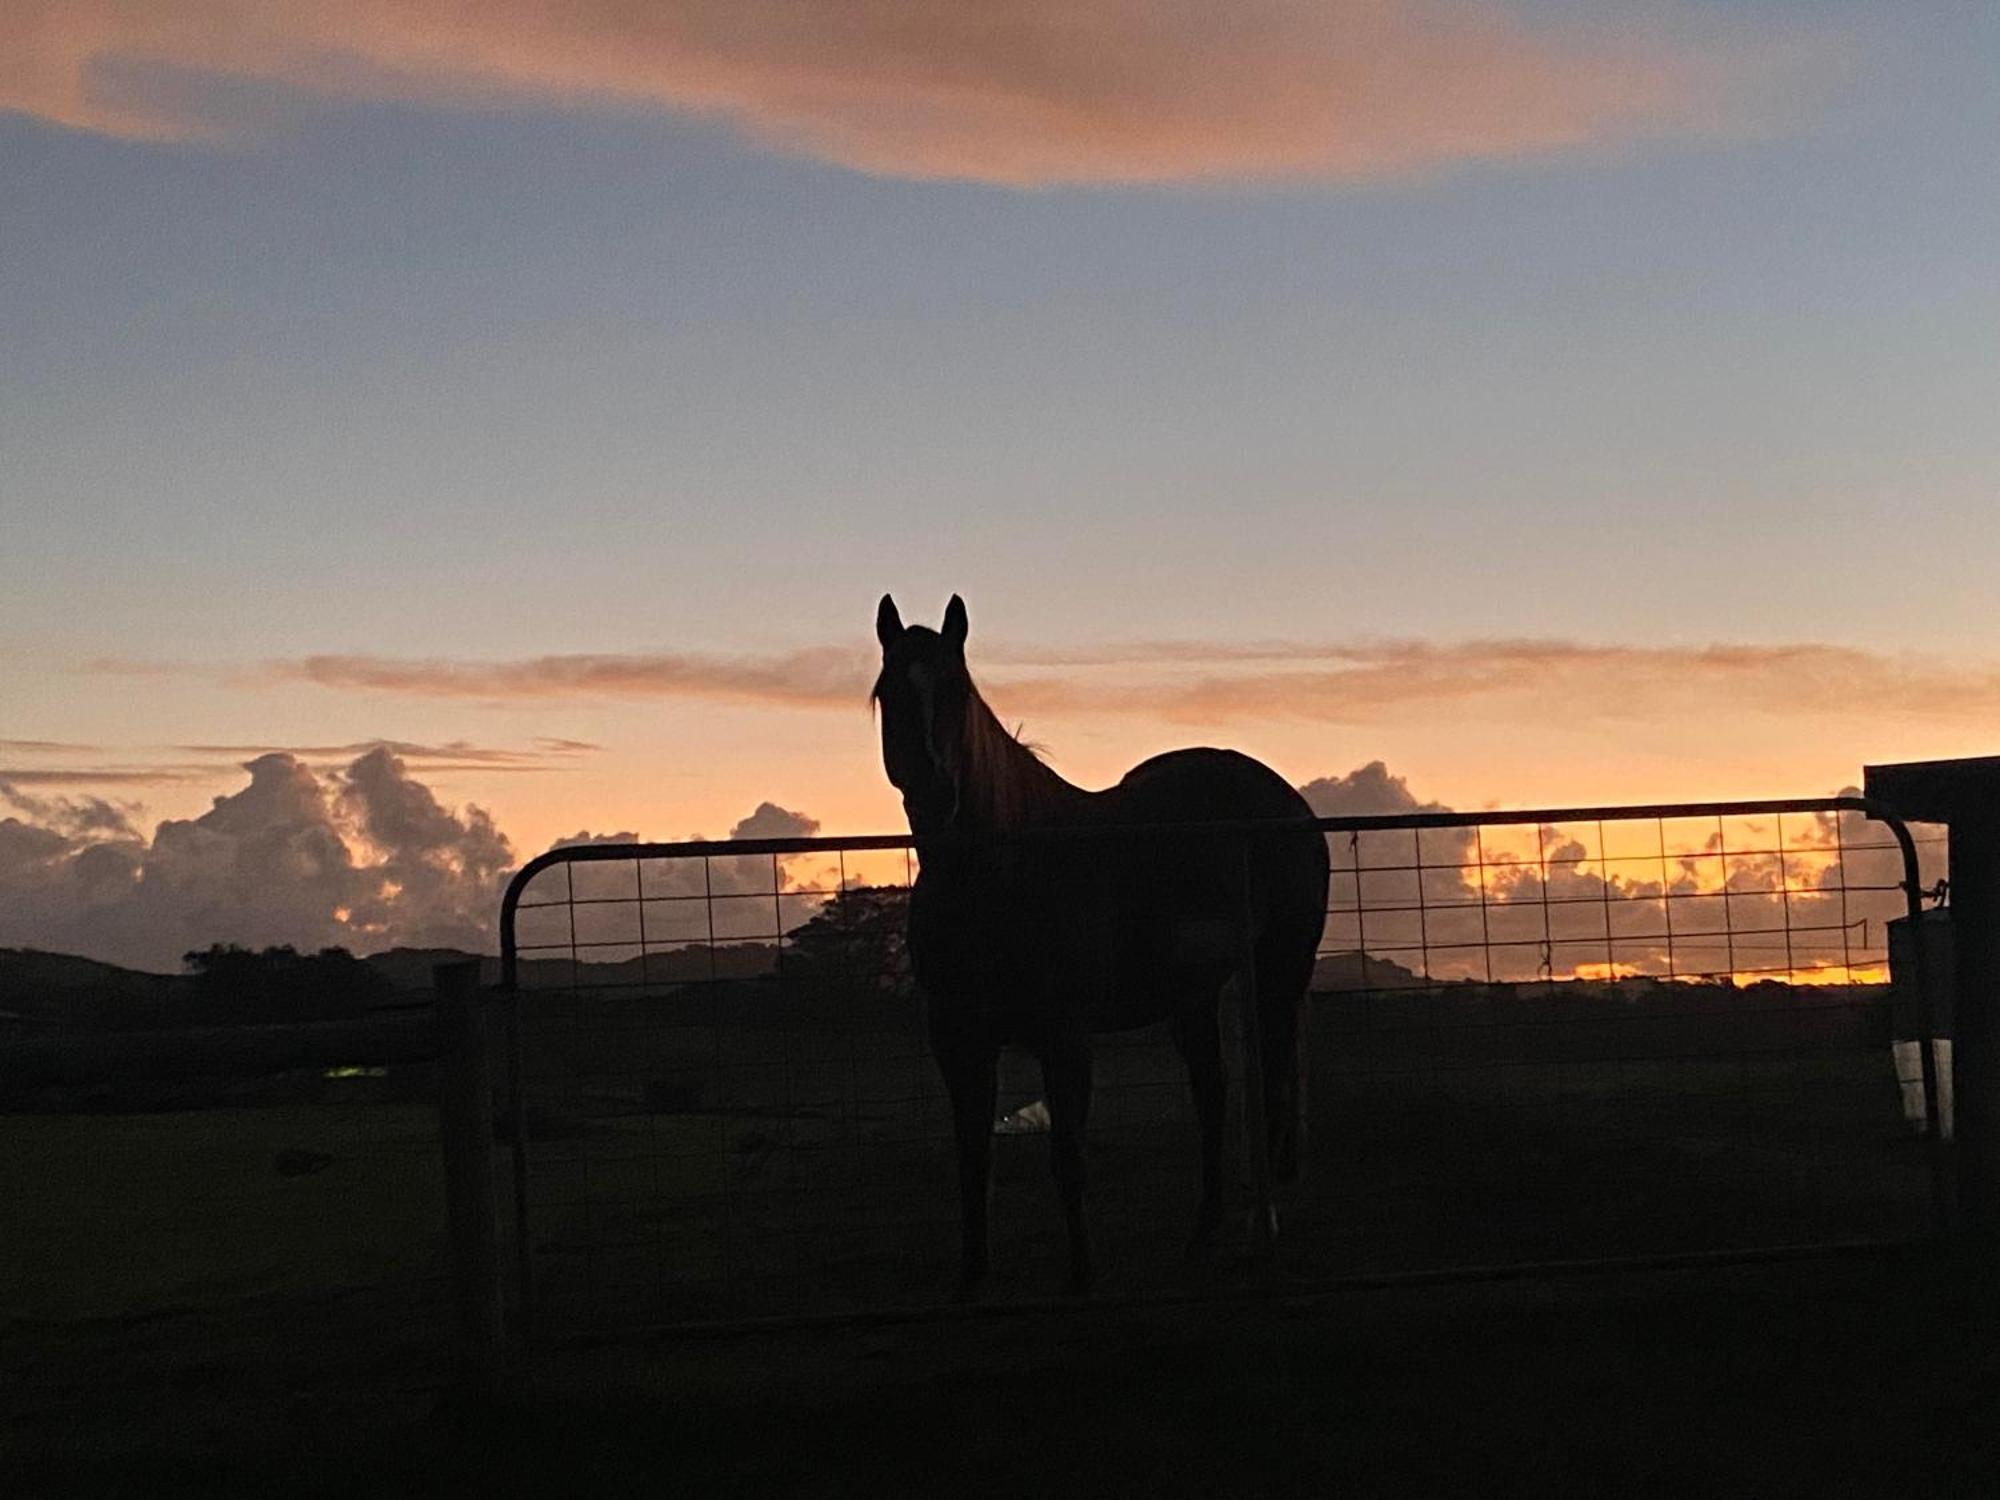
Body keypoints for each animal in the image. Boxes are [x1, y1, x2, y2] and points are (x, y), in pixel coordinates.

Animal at [876, 592, 1328, 1296]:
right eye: (890, 691)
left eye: (956, 691)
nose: (935, 796)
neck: (1002, 874)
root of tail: (1291, 803)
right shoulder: (956, 1039)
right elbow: (973, 1155)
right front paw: (973, 1276)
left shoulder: (1065, 1039)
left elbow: (1068, 1158)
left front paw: (1083, 1274)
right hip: (1192, 998)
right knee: (1213, 1096)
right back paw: (1202, 1235)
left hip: (1279, 976)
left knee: (1269, 1091)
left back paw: (1261, 1224)